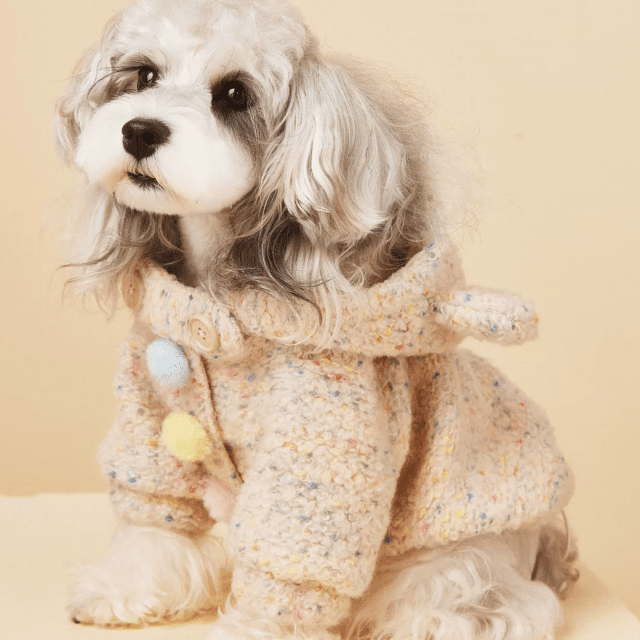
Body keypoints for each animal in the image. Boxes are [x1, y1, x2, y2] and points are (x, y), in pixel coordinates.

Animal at [54, 1, 579, 638]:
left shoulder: (325, 436)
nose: (139, 130)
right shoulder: (151, 403)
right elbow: (155, 518)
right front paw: (125, 587)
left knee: (472, 604)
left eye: (234, 93)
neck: (222, 295)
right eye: (145, 75)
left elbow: (295, 554)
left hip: (452, 566)